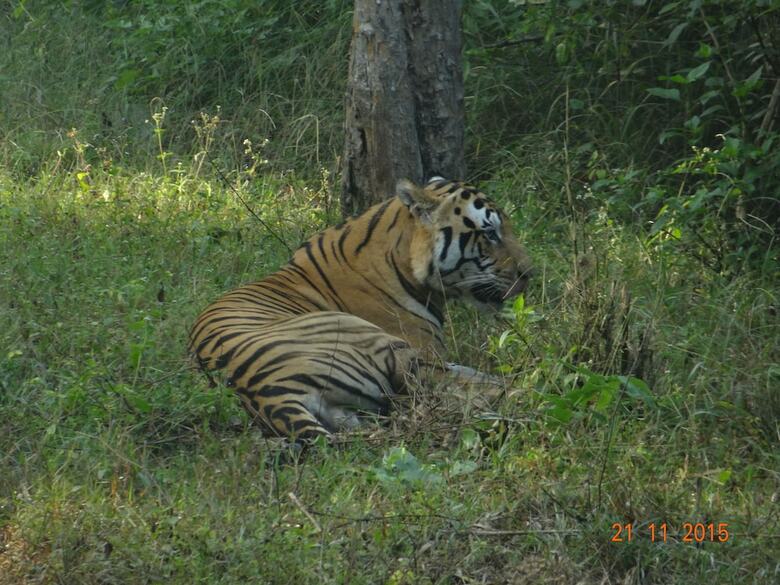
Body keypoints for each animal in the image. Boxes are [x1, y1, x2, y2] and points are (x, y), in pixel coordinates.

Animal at [189, 177, 533, 440]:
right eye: (490, 233)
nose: (530, 273)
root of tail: (265, 394)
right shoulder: (429, 358)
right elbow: (479, 379)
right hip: (384, 347)